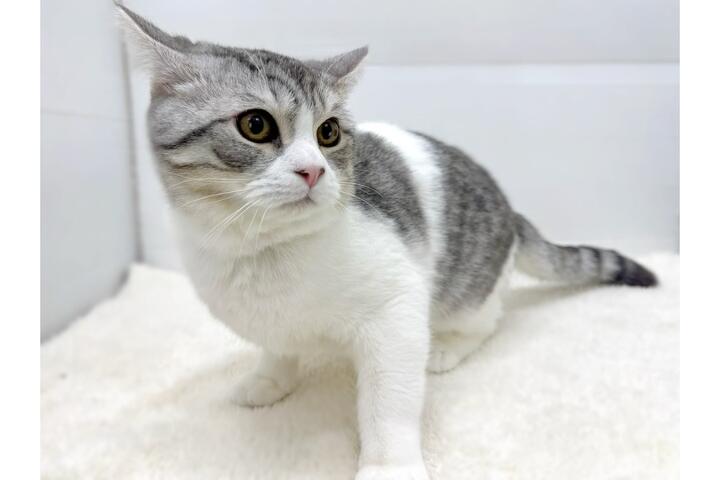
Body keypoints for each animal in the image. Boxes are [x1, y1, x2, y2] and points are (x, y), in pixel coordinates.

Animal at [118, 5, 657, 480]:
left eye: (328, 132)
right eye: (256, 124)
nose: (313, 170)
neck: (263, 252)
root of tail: (508, 208)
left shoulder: (394, 311)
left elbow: (387, 403)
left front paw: (388, 466)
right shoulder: (267, 317)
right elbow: (278, 345)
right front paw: (271, 376)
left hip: (468, 289)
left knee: (487, 319)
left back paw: (448, 348)